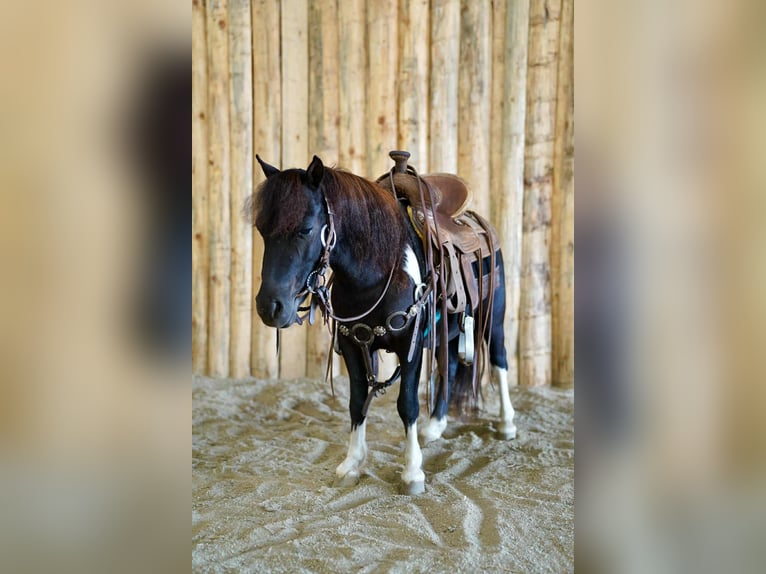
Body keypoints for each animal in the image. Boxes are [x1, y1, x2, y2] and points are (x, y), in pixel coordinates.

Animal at [248, 154, 516, 495]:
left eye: (306, 229)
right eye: (261, 229)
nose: (270, 307)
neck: (374, 272)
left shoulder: (410, 346)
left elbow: (407, 405)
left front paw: (412, 472)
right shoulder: (353, 344)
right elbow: (357, 401)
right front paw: (352, 463)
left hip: (493, 317)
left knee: (498, 359)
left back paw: (507, 424)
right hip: (446, 330)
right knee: (449, 364)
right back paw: (435, 425)